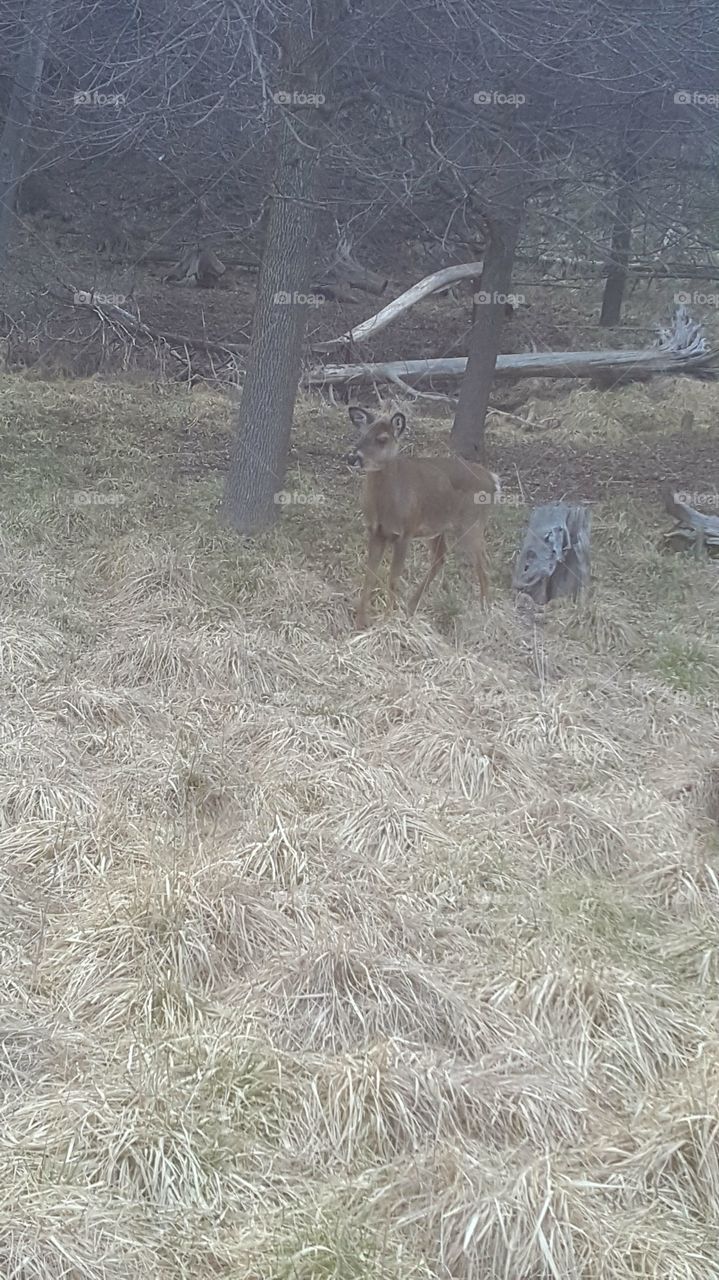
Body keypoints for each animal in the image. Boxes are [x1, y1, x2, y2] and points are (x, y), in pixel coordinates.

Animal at [345, 406, 500, 629]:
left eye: (382, 439)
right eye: (361, 434)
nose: (352, 457)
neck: (386, 505)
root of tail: (493, 480)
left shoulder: (405, 532)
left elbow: (393, 579)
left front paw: (387, 622)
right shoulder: (375, 531)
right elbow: (370, 575)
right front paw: (360, 623)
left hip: (472, 524)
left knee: (484, 565)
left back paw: (485, 615)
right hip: (436, 528)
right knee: (441, 557)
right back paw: (411, 609)